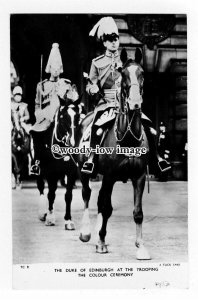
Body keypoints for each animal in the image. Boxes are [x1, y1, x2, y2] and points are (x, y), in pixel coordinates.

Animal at [36, 97, 81, 229]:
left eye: (77, 116)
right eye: (62, 116)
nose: (72, 141)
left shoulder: (70, 173)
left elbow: (68, 195)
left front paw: (68, 220)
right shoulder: (51, 173)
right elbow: (51, 194)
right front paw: (50, 218)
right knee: (41, 187)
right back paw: (43, 213)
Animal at [77, 49, 152, 260]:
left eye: (142, 73)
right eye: (123, 74)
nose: (135, 103)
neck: (127, 139)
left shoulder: (139, 176)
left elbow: (138, 212)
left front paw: (141, 246)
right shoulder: (110, 176)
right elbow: (106, 208)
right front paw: (101, 242)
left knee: (99, 199)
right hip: (84, 171)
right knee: (87, 195)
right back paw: (87, 232)